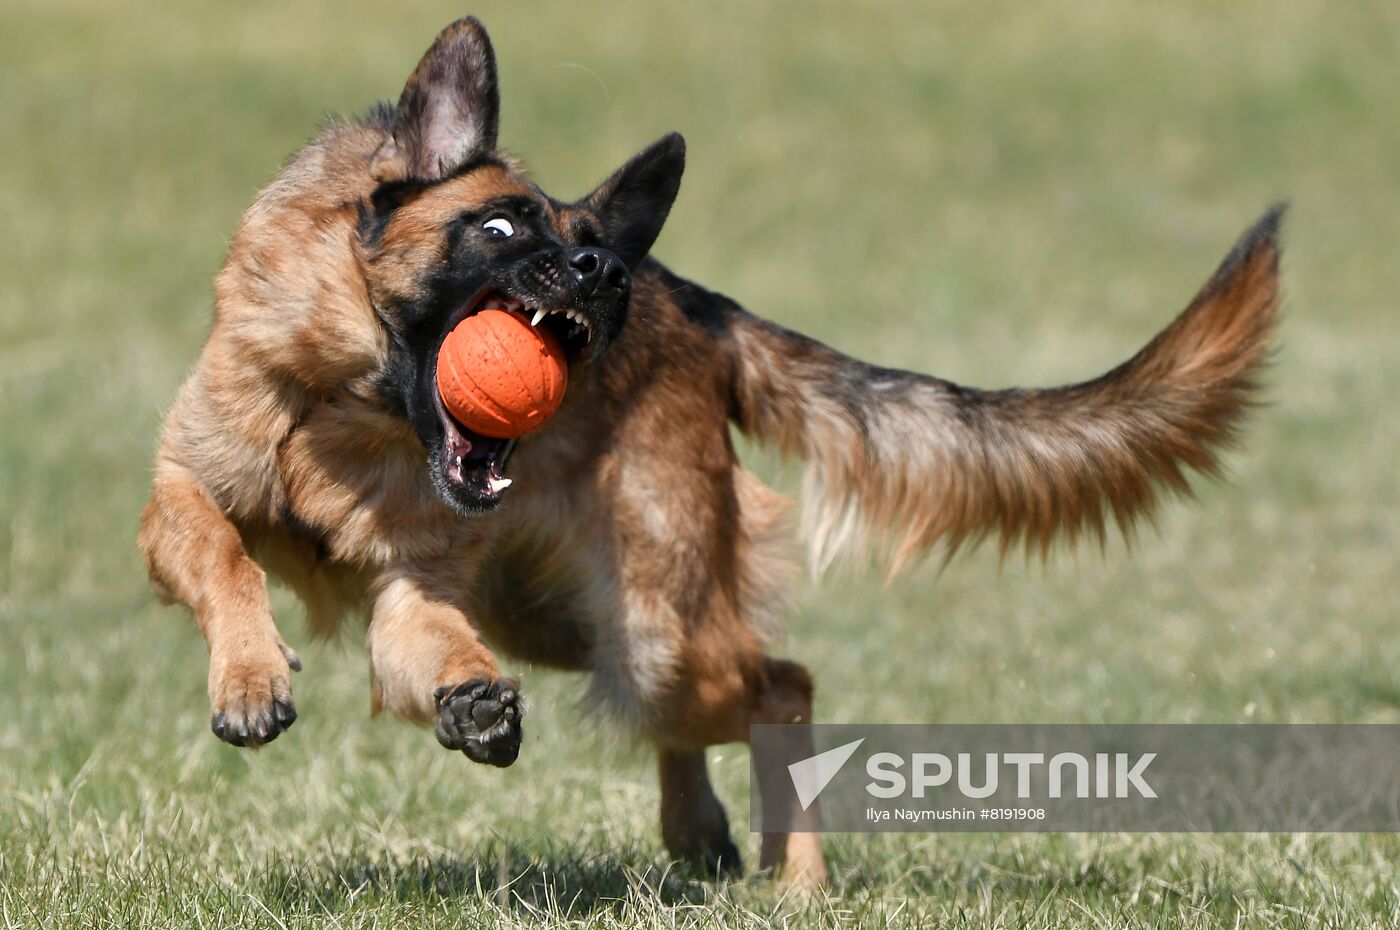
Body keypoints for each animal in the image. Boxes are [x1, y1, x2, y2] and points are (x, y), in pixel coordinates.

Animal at [136, 14, 1282, 885]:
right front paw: (251, 677)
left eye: (578, 236)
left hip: (651, 635)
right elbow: (225, 553)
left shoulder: (416, 588)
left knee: (782, 684)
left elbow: (417, 638)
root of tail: (693, 305)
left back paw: (798, 879)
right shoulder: (178, 501)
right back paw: (698, 834)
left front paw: (433, 695)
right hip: (566, 621)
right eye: (501, 229)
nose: (603, 269)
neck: (342, 408)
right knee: (710, 709)